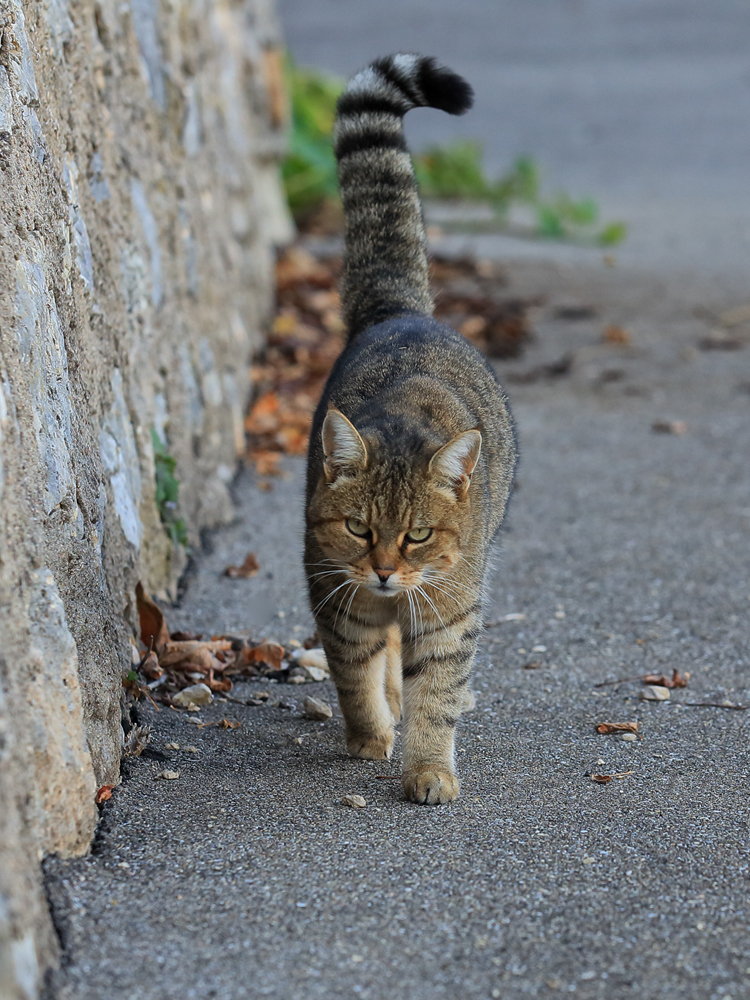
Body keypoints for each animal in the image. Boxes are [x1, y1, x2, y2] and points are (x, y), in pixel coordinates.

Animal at [304, 54, 516, 804]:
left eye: (419, 534)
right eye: (359, 528)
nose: (387, 571)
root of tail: (402, 311)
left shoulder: (450, 615)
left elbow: (437, 695)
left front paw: (427, 768)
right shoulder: (336, 594)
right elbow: (354, 672)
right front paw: (371, 735)